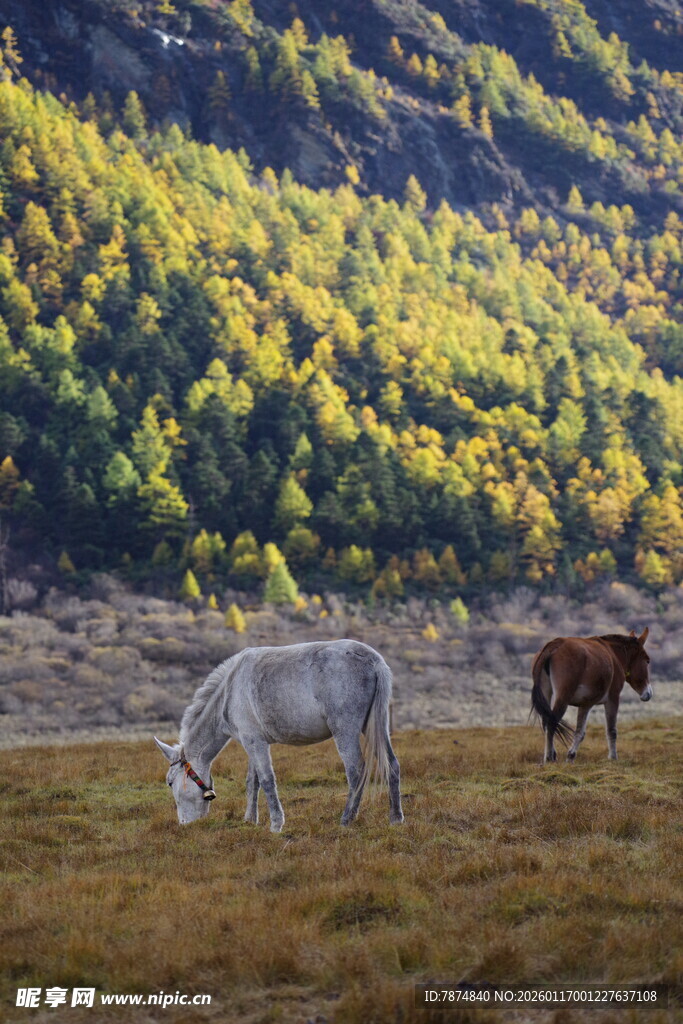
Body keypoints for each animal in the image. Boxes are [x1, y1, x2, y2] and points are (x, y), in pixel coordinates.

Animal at [154, 639, 404, 831]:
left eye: (170, 782)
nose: (184, 824)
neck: (229, 692)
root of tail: (373, 660)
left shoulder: (255, 743)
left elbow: (267, 780)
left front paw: (276, 824)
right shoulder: (253, 742)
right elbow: (252, 781)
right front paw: (250, 820)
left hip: (345, 731)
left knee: (355, 772)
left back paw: (346, 820)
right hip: (376, 725)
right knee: (392, 765)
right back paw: (396, 819)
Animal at [531, 628, 652, 763]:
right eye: (647, 660)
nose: (648, 693)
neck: (613, 654)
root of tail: (554, 645)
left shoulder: (586, 704)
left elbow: (580, 732)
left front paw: (571, 756)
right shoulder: (613, 699)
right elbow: (611, 730)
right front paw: (613, 757)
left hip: (546, 693)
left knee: (547, 722)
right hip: (562, 698)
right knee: (552, 723)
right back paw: (548, 758)